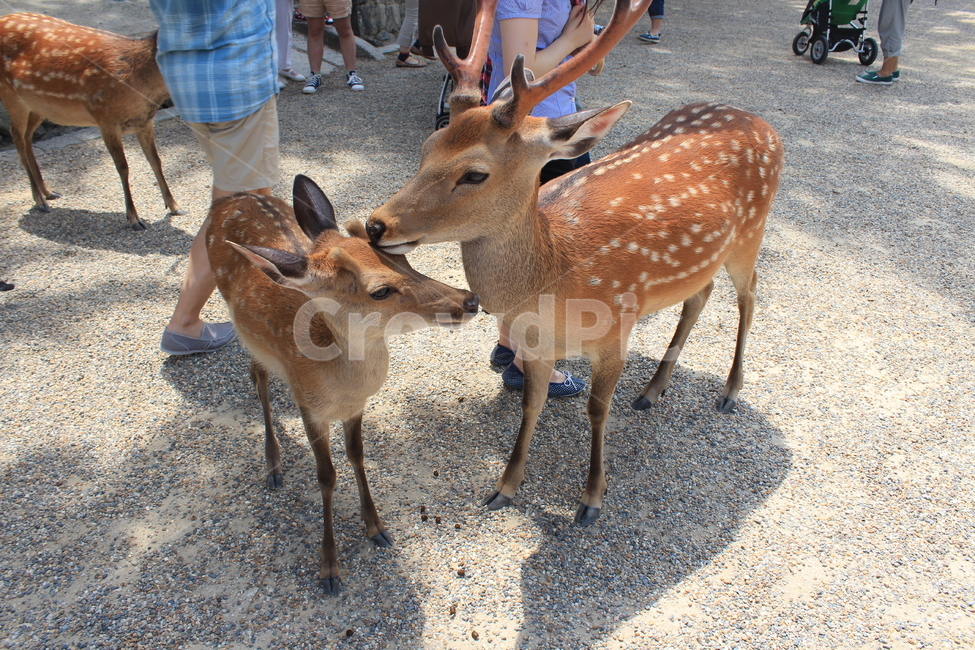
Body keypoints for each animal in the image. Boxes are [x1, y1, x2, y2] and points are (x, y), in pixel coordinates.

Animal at [0, 13, 181, 230]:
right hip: (10, 94)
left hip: (37, 106)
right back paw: (39, 200)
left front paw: (174, 206)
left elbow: (155, 160)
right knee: (16, 136)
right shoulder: (105, 118)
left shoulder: (144, 121)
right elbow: (123, 167)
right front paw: (134, 218)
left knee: (27, 137)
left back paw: (48, 192)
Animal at [206, 174, 479, 594]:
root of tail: (230, 199)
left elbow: (357, 456)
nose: (470, 300)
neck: (336, 383)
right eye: (380, 290)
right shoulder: (308, 405)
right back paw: (273, 463)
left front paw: (376, 526)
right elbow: (327, 476)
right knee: (259, 376)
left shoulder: (356, 407)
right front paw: (330, 567)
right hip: (243, 328)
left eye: (404, 259)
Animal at [365, 0, 783, 526]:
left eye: (475, 173)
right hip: (706, 256)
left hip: (752, 232)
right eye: (427, 148)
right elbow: (532, 405)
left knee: (749, 296)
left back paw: (729, 391)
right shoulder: (537, 344)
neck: (554, 283)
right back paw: (652, 390)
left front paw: (591, 498)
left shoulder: (617, 328)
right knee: (700, 295)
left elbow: (596, 410)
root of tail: (761, 122)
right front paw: (505, 486)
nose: (375, 225)